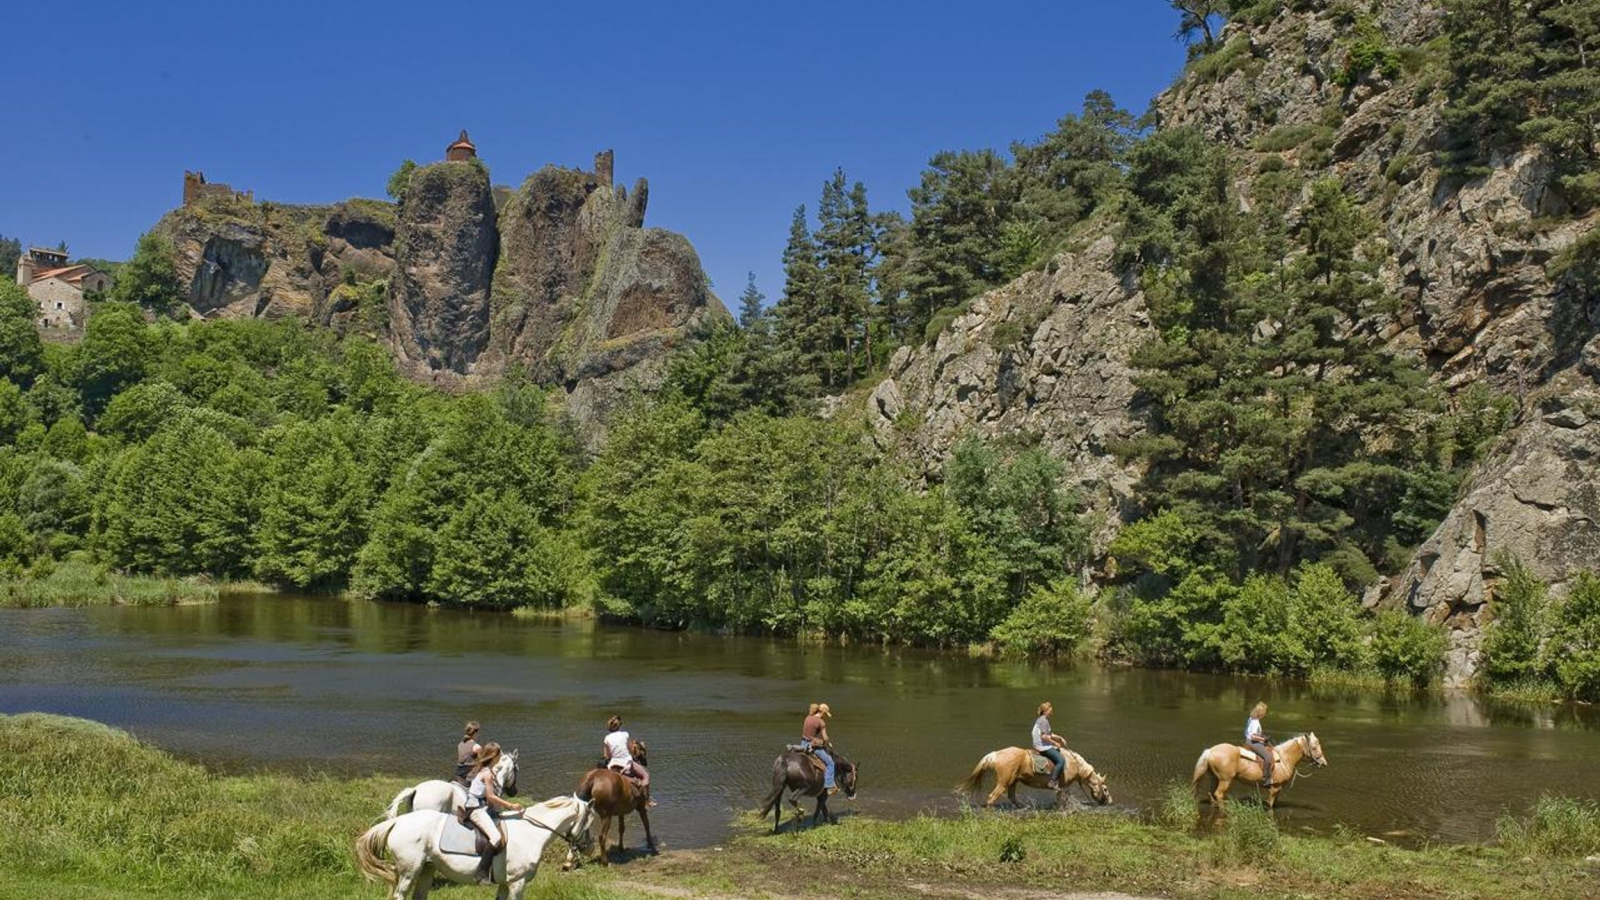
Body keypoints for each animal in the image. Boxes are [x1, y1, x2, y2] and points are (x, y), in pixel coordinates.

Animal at [353, 791, 598, 896]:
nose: (589, 848)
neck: (531, 833)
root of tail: (399, 821)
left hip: (426, 869)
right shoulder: (517, 883)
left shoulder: (505, 884)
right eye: (590, 821)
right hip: (409, 871)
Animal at [569, 736, 656, 864]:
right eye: (643, 750)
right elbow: (646, 824)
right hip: (606, 816)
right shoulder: (640, 807)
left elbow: (621, 828)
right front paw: (650, 845)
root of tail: (592, 778)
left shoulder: (621, 812)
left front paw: (621, 848)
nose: (645, 762)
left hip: (589, 812)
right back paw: (605, 861)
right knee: (602, 837)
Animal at [953, 743, 1107, 807]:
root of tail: (996, 754)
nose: (1108, 801)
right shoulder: (1063, 786)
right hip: (1004, 783)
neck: (1073, 763)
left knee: (1012, 797)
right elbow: (1062, 799)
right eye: (1105, 789)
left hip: (1013, 782)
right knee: (992, 797)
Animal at [1196, 730, 1331, 807]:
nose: (1323, 763)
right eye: (1314, 747)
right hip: (1225, 780)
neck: (1284, 759)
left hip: (1214, 778)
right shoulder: (1274, 788)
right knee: (1218, 794)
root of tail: (1211, 750)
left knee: (1211, 794)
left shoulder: (1278, 789)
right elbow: (1270, 806)